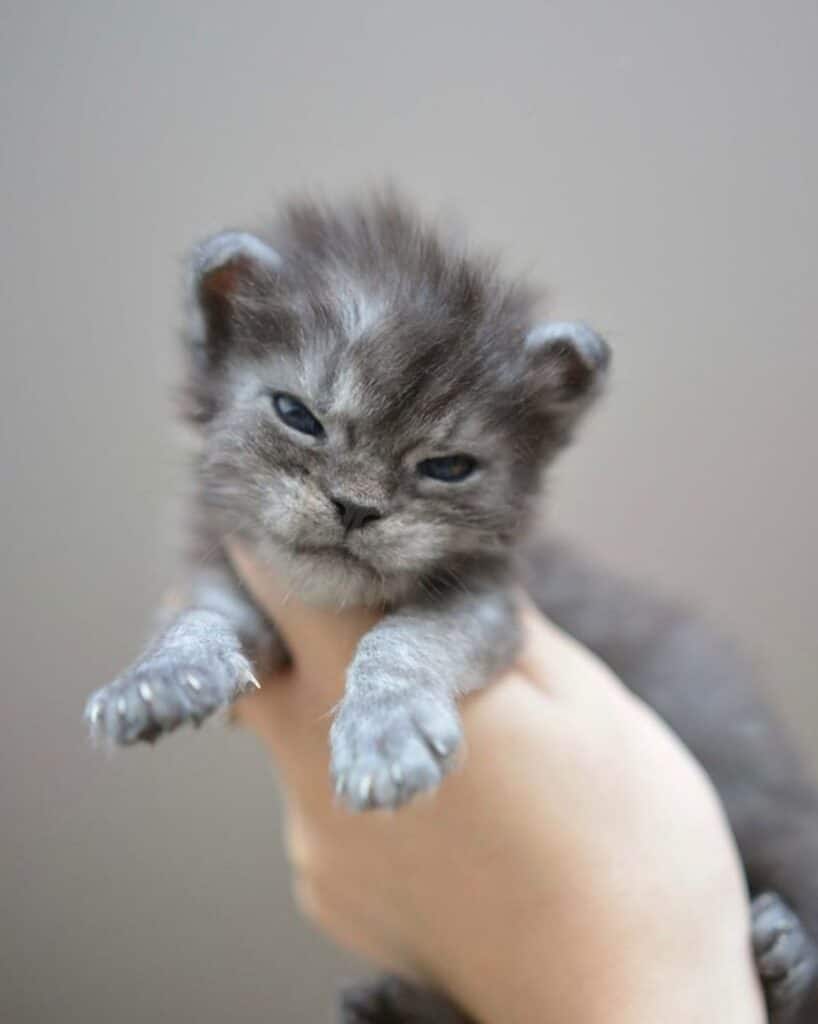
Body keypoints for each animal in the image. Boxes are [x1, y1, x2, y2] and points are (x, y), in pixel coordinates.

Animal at [86, 193, 818, 1024]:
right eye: (296, 415)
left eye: (447, 467)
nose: (355, 507)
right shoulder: (223, 571)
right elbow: (198, 619)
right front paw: (160, 679)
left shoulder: (493, 607)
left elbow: (404, 639)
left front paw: (386, 731)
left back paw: (788, 954)